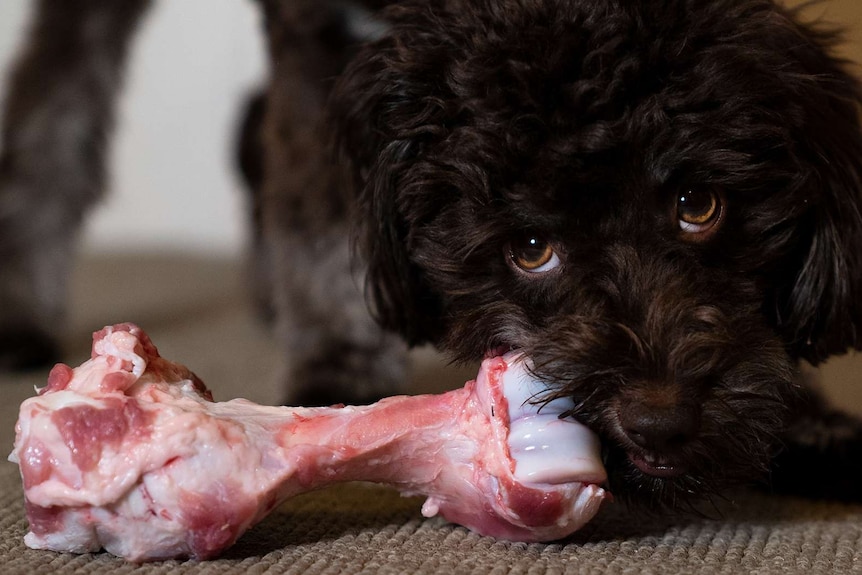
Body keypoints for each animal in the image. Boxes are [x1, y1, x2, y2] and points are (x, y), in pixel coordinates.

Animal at [0, 1, 860, 512]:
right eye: (531, 248)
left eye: (698, 205)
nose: (659, 422)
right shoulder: (312, 38)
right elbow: (320, 211)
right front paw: (339, 366)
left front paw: (806, 420)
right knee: (53, 111)